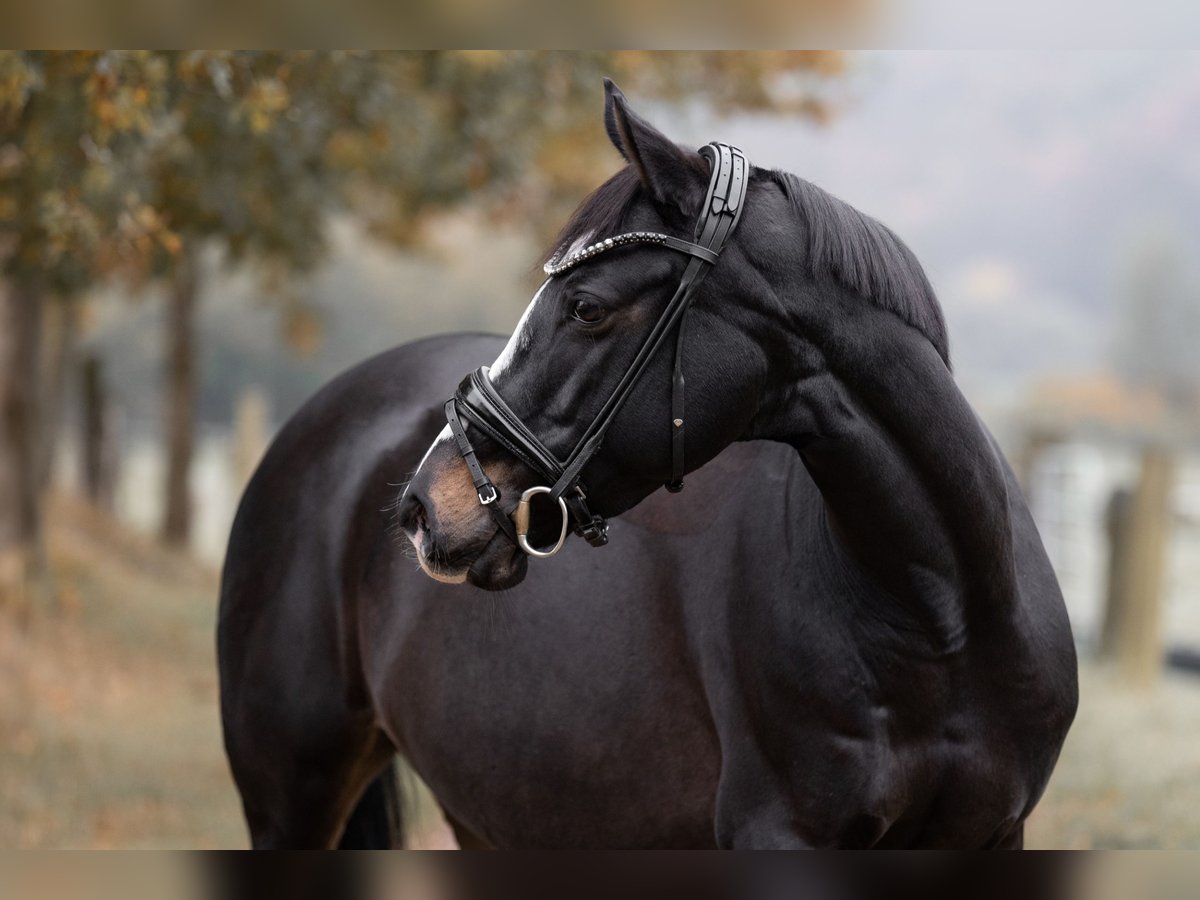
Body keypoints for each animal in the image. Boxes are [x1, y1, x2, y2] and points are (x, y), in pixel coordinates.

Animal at [218, 81, 1080, 849]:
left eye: (587, 306)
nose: (428, 504)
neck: (941, 618)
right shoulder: (782, 835)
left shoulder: (992, 836)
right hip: (292, 797)